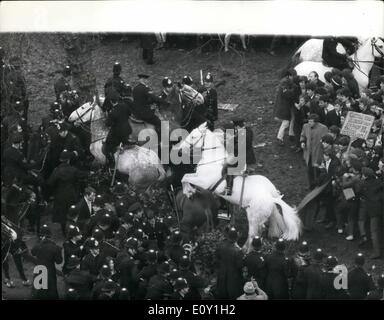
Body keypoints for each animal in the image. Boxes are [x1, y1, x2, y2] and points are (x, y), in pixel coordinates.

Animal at [174, 122, 304, 252]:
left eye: (193, 137)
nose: (179, 151)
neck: (212, 160)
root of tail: (271, 198)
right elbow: (186, 176)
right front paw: (190, 190)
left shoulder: (204, 181)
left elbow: (185, 177)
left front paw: (188, 191)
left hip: (252, 218)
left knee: (252, 234)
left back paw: (245, 250)